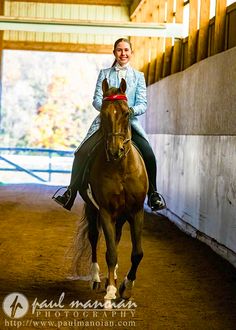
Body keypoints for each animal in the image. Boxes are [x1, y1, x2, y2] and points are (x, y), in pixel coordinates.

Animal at [78, 78, 148, 308]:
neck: (120, 167)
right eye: (103, 113)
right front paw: (110, 291)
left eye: (126, 113)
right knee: (93, 238)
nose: (115, 150)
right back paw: (97, 279)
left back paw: (115, 278)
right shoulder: (106, 212)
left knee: (116, 238)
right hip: (93, 210)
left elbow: (137, 253)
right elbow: (110, 253)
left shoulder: (136, 211)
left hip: (122, 215)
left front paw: (127, 286)